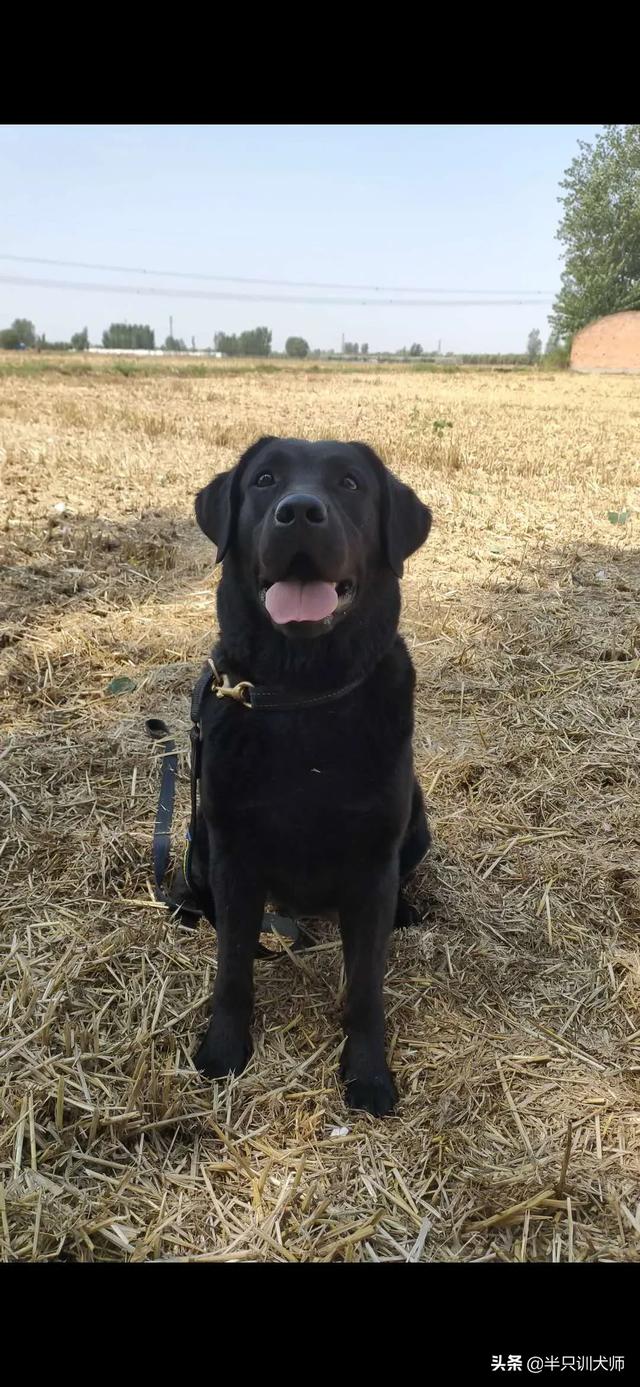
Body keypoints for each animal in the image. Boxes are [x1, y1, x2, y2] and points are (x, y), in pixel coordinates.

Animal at [187, 435, 430, 1115]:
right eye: (265, 481)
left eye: (350, 484)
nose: (298, 512)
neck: (303, 693)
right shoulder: (233, 856)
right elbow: (232, 967)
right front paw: (223, 1051)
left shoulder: (372, 865)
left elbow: (366, 986)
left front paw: (368, 1075)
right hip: (199, 836)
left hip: (418, 823)